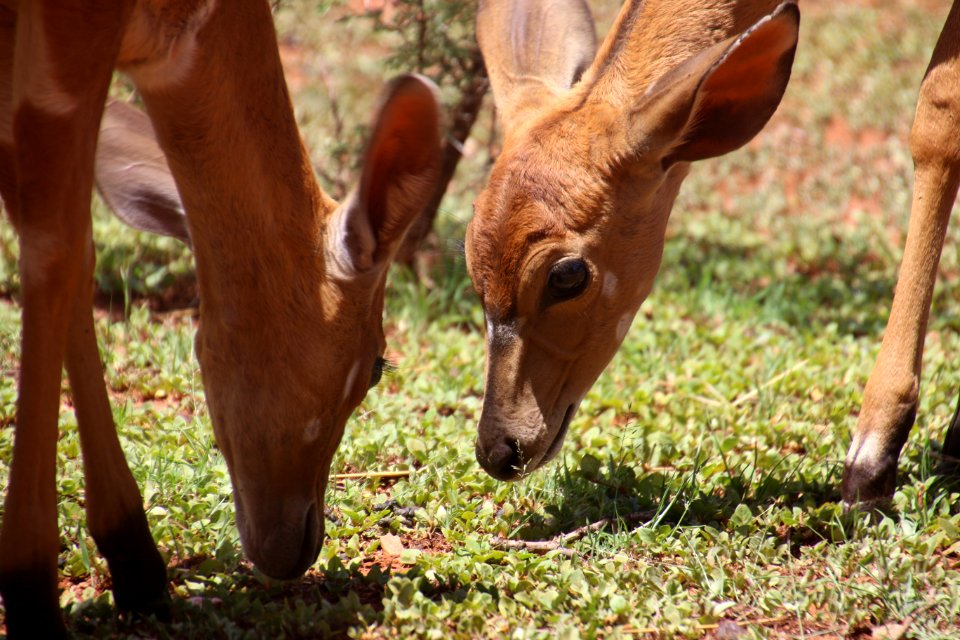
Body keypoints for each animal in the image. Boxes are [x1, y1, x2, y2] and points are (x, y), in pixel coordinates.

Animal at [0, 2, 442, 636]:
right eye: (377, 365)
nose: (299, 545)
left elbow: (77, 249)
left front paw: (137, 560)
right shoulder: (70, 36)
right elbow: (55, 244)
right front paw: (33, 592)